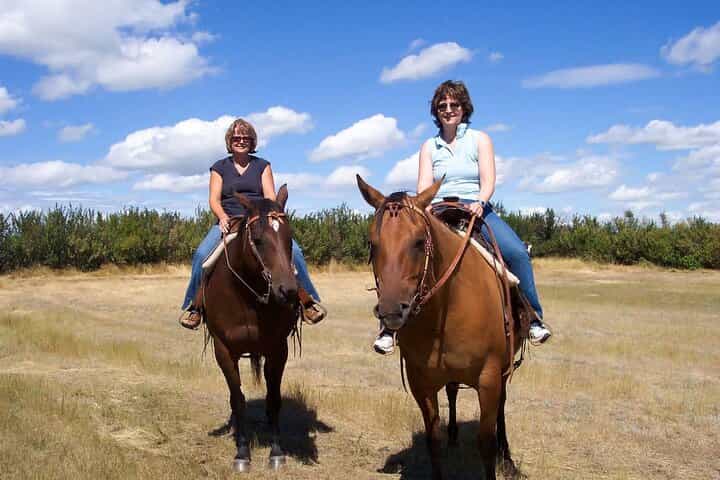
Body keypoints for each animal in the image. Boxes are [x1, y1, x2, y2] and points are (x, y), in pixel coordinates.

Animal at [203, 185, 299, 472]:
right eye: (257, 240)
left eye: (290, 239)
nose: (288, 291)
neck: (246, 297)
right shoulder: (224, 350)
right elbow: (238, 399)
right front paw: (242, 453)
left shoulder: (277, 349)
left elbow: (274, 398)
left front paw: (276, 452)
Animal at [357, 175, 524, 480]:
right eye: (372, 244)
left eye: (419, 241)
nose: (391, 312)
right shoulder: (420, 383)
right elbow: (432, 440)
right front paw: (444, 442)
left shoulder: (489, 378)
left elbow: (486, 441)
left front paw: (500, 457)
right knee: (453, 391)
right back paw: (454, 436)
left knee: (502, 407)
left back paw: (507, 458)